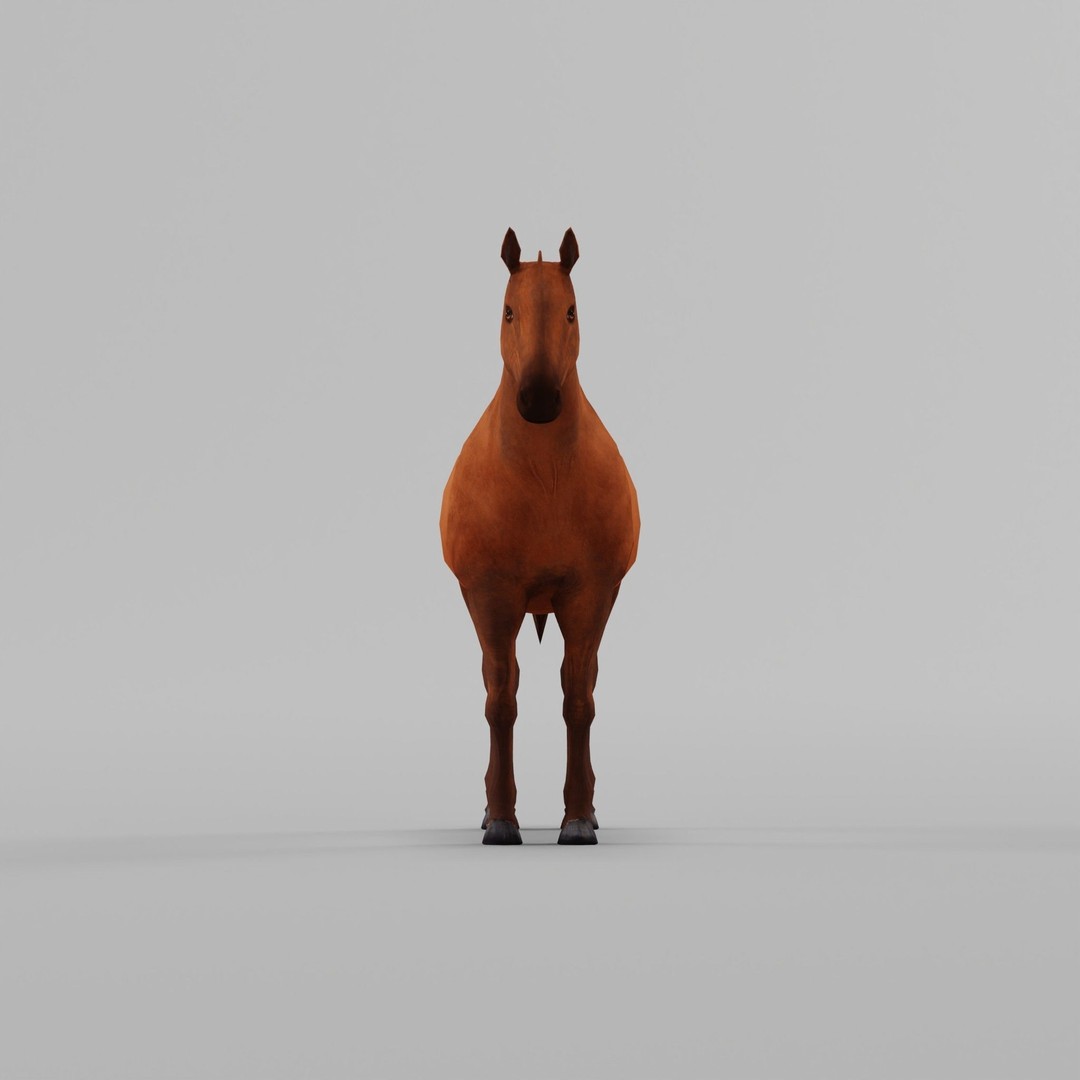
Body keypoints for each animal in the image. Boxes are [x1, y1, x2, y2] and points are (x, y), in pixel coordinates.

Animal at [440, 227, 640, 845]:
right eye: (509, 312)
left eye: (572, 312)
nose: (539, 400)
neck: (543, 480)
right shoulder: (490, 594)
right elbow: (501, 698)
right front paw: (502, 820)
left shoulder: (591, 594)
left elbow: (578, 698)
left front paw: (576, 820)